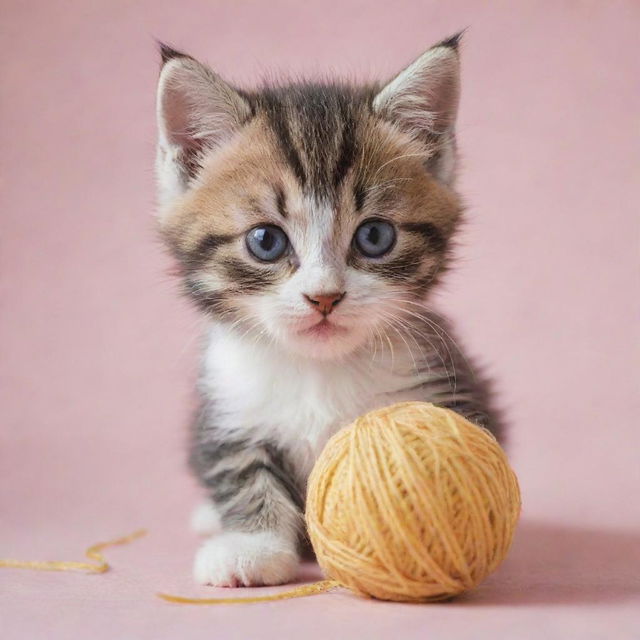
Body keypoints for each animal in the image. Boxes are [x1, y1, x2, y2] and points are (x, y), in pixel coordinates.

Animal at [154, 32, 500, 588]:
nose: (324, 297)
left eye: (375, 236)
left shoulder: (442, 385)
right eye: (266, 241)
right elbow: (239, 468)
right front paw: (251, 546)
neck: (318, 371)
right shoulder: (228, 405)